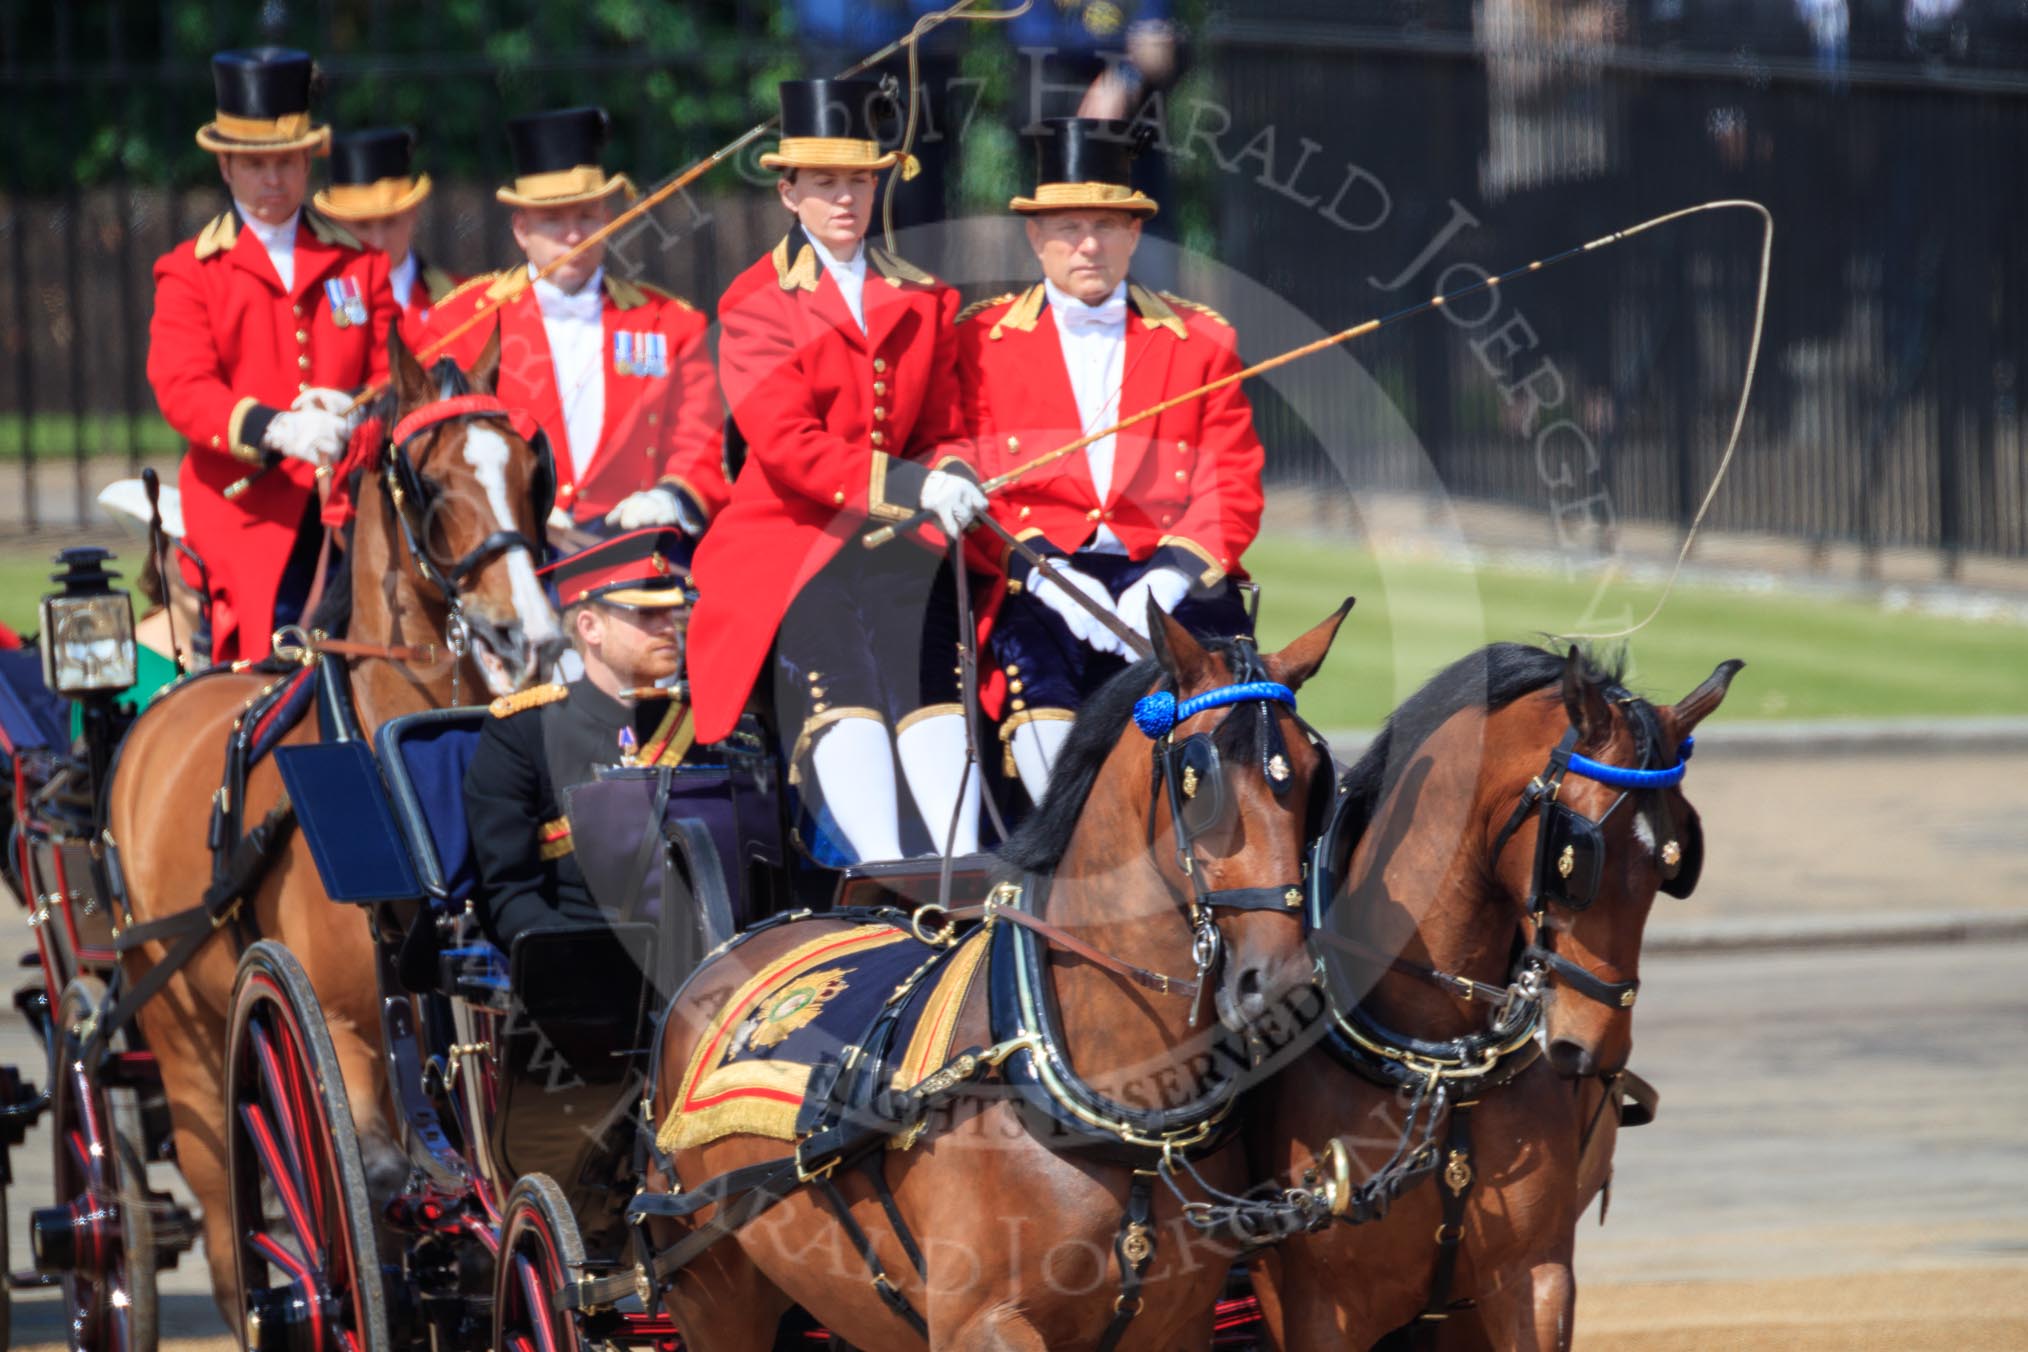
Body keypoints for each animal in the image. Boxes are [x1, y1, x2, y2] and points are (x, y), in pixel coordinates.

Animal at [106, 326, 563, 1317]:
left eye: (529, 468)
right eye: (428, 481)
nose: (529, 636)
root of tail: (173, 695)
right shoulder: (342, 1040)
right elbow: (375, 1189)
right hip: (186, 1050)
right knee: (232, 1234)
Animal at [644, 604, 1351, 1351]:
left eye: (1315, 777)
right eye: (1199, 779)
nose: (1283, 983)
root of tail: (739, 938)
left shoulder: (1179, 1324)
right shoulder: (980, 1323)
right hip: (715, 1291)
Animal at [1248, 643, 1738, 1351]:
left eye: (1672, 860)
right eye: (1574, 855)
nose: (1594, 1046)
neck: (1438, 1064)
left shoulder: (1533, 1276)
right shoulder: (1321, 1308)